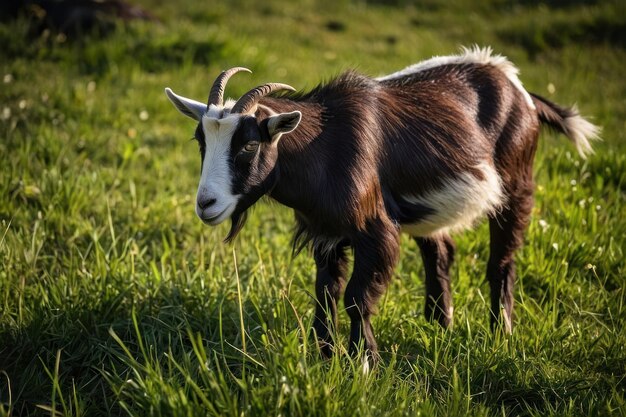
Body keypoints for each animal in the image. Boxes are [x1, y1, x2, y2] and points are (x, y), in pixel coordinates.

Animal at [163, 47, 596, 362]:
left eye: (249, 146)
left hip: (518, 181)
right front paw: (326, 357)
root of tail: (518, 87)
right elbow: (326, 291)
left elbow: (357, 297)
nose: (206, 204)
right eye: (201, 141)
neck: (325, 143)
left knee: (502, 258)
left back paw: (500, 332)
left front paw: (363, 363)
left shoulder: (375, 230)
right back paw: (439, 326)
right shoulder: (327, 232)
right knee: (440, 250)